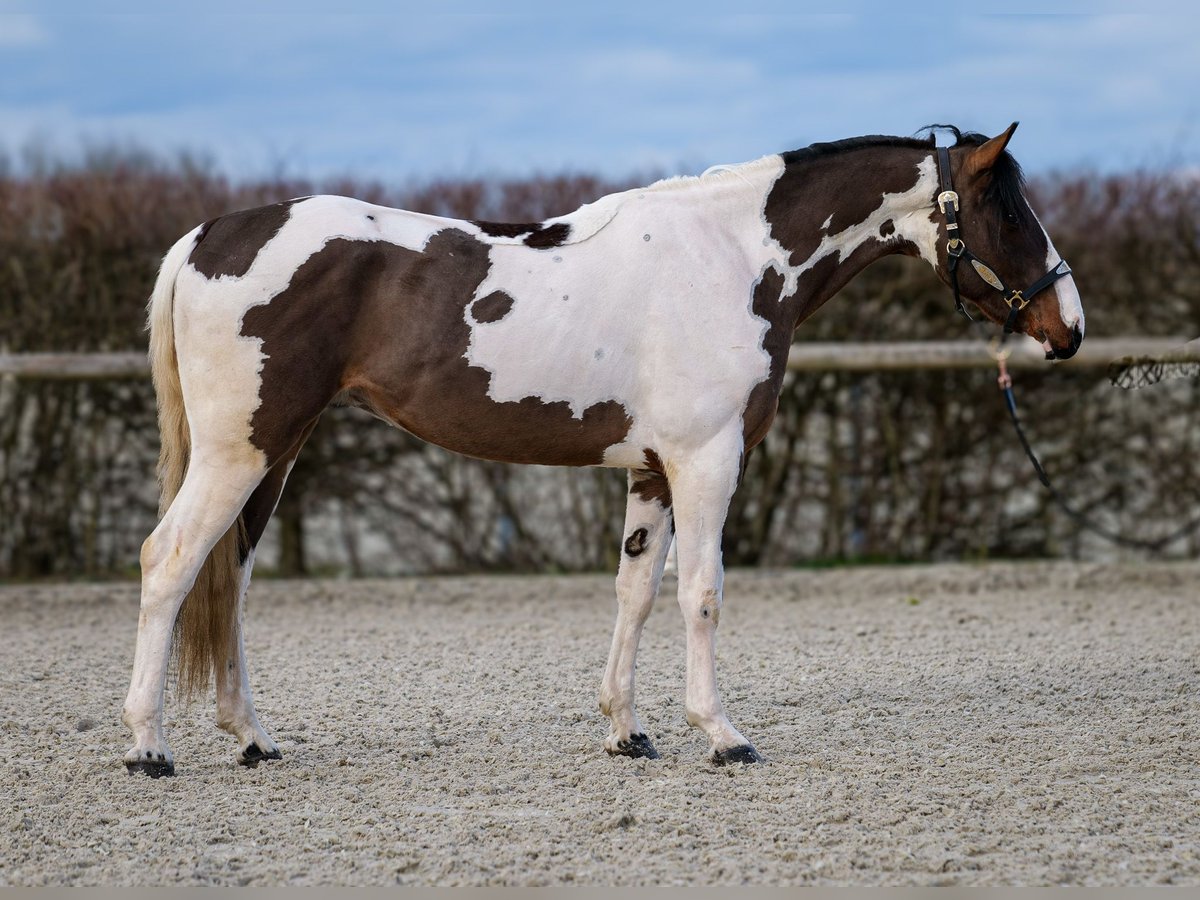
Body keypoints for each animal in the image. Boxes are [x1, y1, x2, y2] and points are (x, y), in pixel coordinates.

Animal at [124, 123, 1089, 777]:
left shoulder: (653, 473)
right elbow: (702, 594)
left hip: (273, 455)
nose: (1067, 327)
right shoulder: (708, 461)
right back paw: (148, 748)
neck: (733, 258)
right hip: (240, 452)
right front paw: (723, 736)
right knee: (169, 561)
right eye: (1006, 210)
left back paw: (254, 739)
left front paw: (627, 730)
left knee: (230, 577)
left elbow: (636, 593)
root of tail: (207, 237)